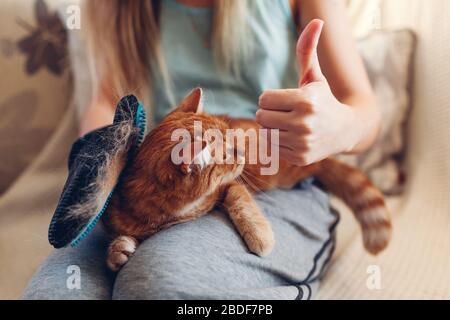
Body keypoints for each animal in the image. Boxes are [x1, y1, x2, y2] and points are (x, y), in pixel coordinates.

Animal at [102, 89, 390, 272]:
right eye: (227, 153)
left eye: (231, 138)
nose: (240, 152)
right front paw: (119, 251)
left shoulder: (228, 187)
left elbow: (240, 202)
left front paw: (260, 236)